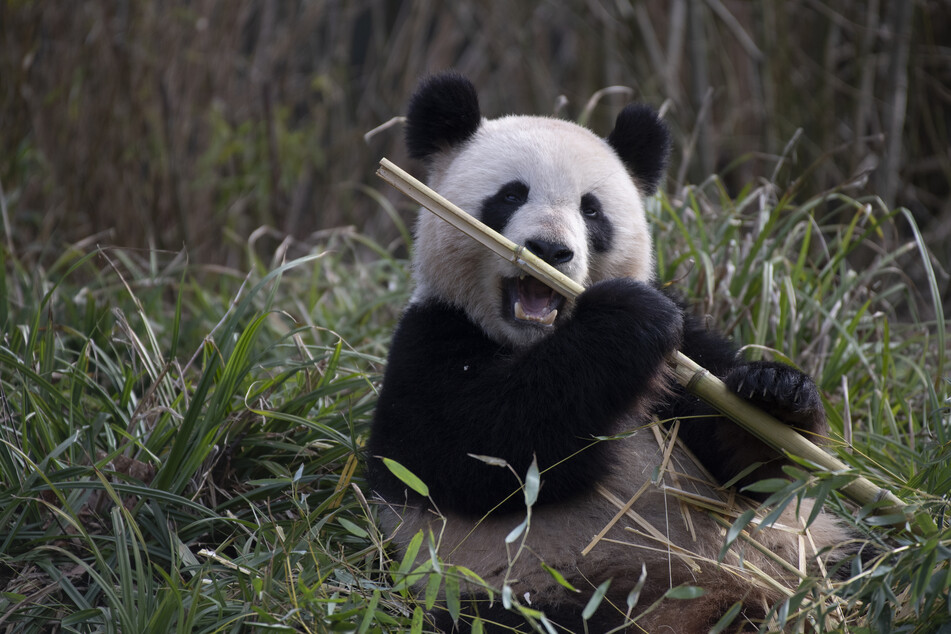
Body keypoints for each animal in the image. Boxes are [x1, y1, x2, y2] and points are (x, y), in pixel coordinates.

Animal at [366, 73, 856, 628]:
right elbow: (471, 450)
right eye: (511, 195)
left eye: (591, 208)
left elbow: (754, 478)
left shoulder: (688, 351)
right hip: (534, 591)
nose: (550, 250)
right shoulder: (430, 338)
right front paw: (627, 318)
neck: (535, 341)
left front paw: (775, 393)